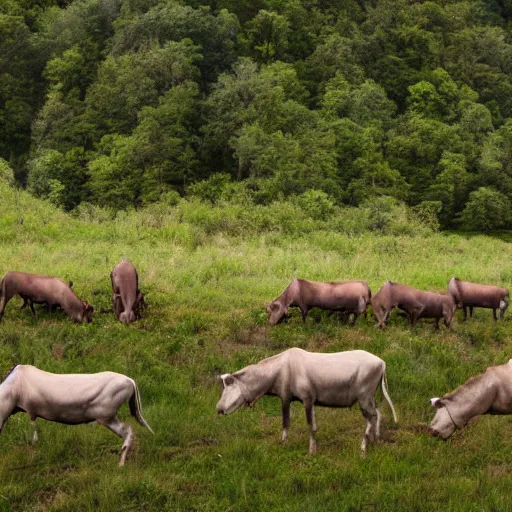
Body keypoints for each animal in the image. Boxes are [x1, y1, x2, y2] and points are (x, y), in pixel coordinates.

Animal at [0, 364, 153, 464]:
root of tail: (130, 381)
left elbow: (34, 434)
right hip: (109, 418)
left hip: (106, 418)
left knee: (128, 432)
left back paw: (121, 462)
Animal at [214, 348, 398, 456]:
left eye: (228, 385)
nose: (219, 409)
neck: (278, 371)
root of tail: (382, 363)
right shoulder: (293, 399)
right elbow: (294, 423)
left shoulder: (305, 398)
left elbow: (305, 425)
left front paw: (310, 450)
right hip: (369, 398)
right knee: (377, 414)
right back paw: (375, 440)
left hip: (363, 398)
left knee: (371, 417)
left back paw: (363, 448)